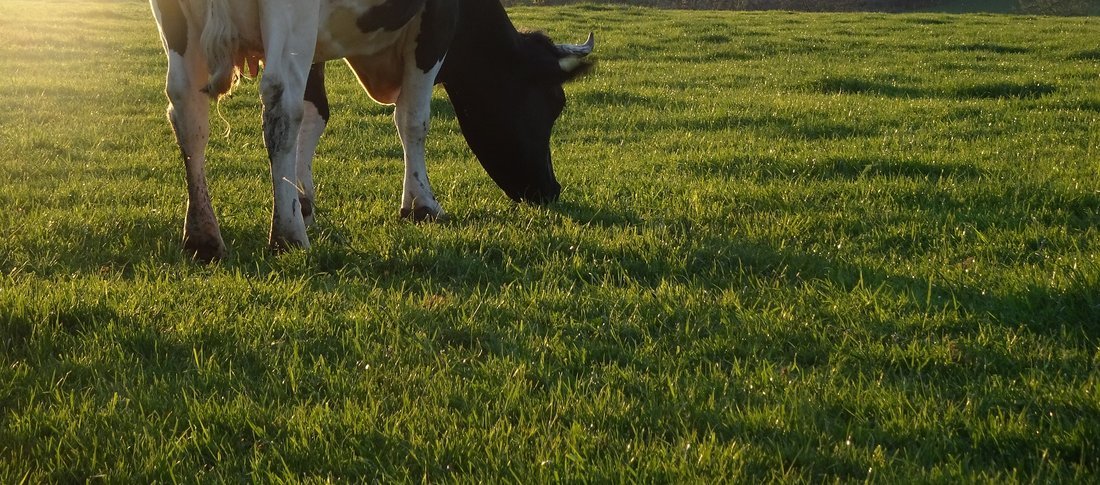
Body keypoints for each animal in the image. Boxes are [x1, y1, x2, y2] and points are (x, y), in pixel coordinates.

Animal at [149, 0, 594, 261]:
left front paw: (303, 199)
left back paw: (203, 236)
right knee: (278, 104)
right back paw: (287, 235)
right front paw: (421, 204)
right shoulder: (435, 24)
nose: (550, 189)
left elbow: (316, 112)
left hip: (176, 22)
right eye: (555, 101)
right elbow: (413, 118)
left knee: (187, 112)